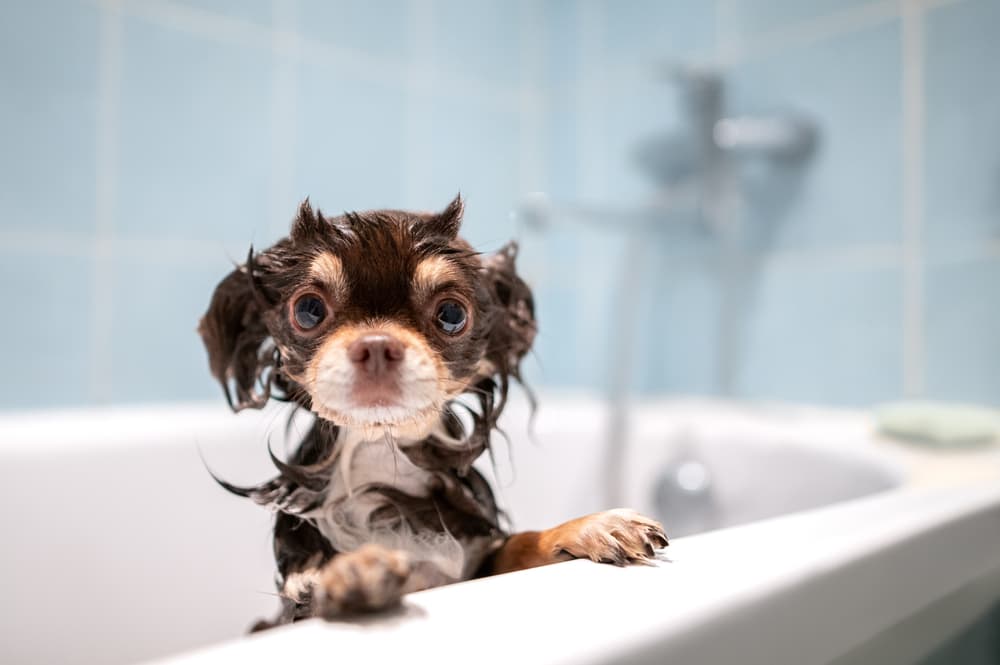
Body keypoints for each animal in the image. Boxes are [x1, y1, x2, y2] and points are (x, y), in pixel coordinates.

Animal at [198, 193, 668, 628]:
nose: (376, 345)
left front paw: (592, 525)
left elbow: (520, 542)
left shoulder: (478, 561)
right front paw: (356, 569)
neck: (381, 457)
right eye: (309, 310)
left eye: (452, 314)